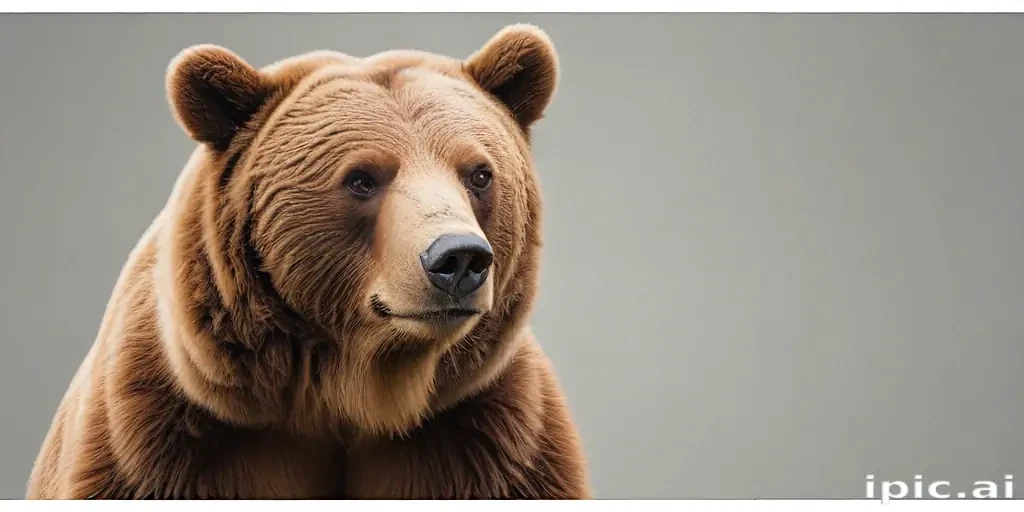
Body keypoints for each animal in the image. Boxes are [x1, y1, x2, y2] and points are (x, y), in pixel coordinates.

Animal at [25, 24, 591, 500]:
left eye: (478, 173)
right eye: (362, 178)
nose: (458, 258)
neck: (356, 392)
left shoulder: (490, 442)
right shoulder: (162, 442)